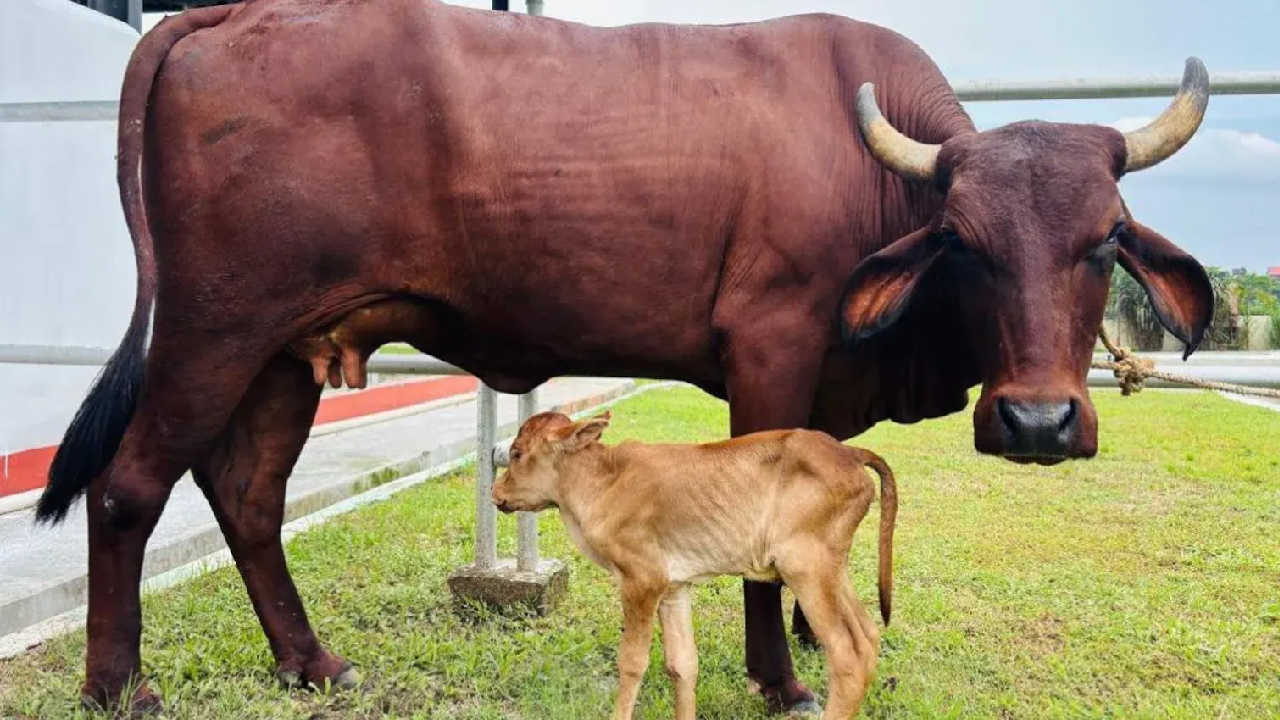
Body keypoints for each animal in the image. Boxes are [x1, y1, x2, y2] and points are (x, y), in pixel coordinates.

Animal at [491, 410, 898, 720]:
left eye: (516, 453)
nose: (495, 493)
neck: (603, 481)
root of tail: (849, 453)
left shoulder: (642, 581)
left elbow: (632, 662)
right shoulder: (674, 587)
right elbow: (683, 665)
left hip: (806, 569)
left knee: (846, 652)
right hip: (831, 570)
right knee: (867, 636)